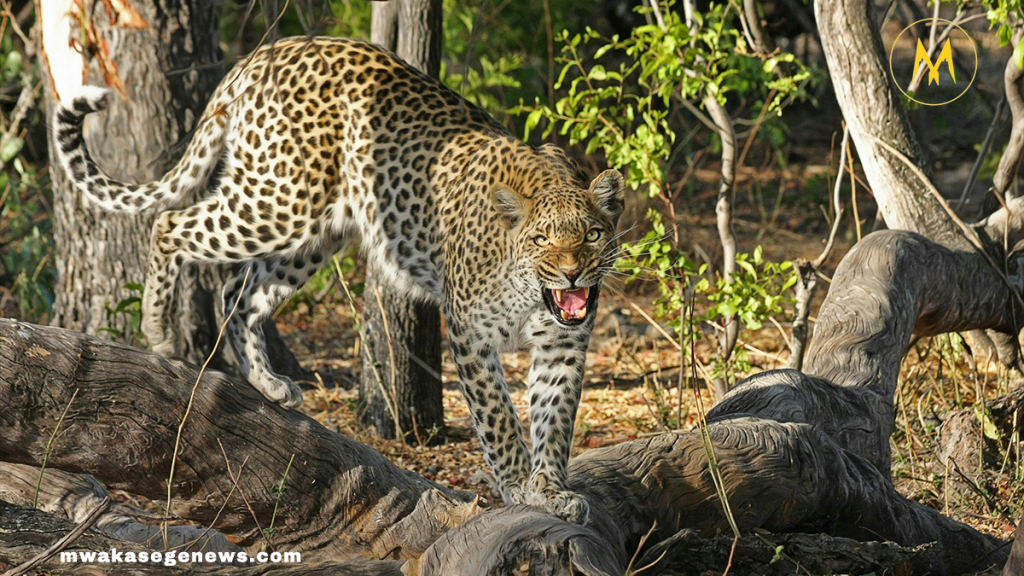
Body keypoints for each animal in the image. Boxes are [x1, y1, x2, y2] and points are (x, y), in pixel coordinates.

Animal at [52, 36, 625, 524]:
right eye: (542, 240)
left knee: (238, 292)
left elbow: (555, 421)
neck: (533, 294)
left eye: (593, 235)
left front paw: (551, 490)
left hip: (314, 234)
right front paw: (520, 487)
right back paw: (159, 331)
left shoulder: (564, 345)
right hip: (278, 201)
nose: (572, 271)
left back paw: (268, 383)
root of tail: (263, 53)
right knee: (170, 224)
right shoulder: (469, 334)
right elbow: (500, 420)